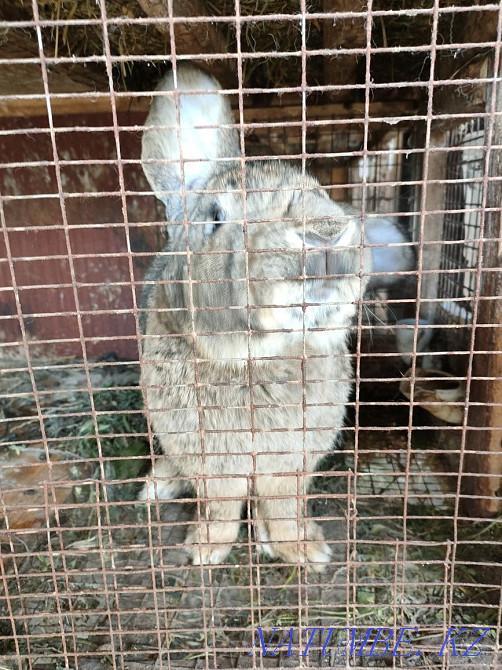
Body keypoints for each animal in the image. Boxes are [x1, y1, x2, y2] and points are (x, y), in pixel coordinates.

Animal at [139, 64, 375, 571]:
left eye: (321, 192)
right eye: (215, 216)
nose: (325, 234)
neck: (260, 357)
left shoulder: (292, 460)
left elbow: (282, 503)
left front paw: (303, 549)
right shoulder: (210, 457)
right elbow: (222, 505)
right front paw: (204, 550)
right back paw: (158, 485)